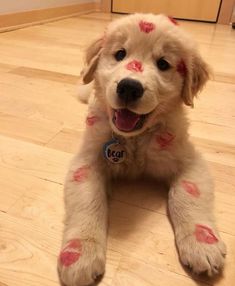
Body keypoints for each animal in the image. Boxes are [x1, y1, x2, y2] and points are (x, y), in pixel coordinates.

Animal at [57, 13, 226, 286]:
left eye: (163, 64)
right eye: (120, 54)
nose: (129, 87)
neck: (134, 139)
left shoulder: (189, 160)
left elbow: (186, 194)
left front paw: (202, 245)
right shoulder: (86, 161)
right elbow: (88, 200)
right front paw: (79, 253)